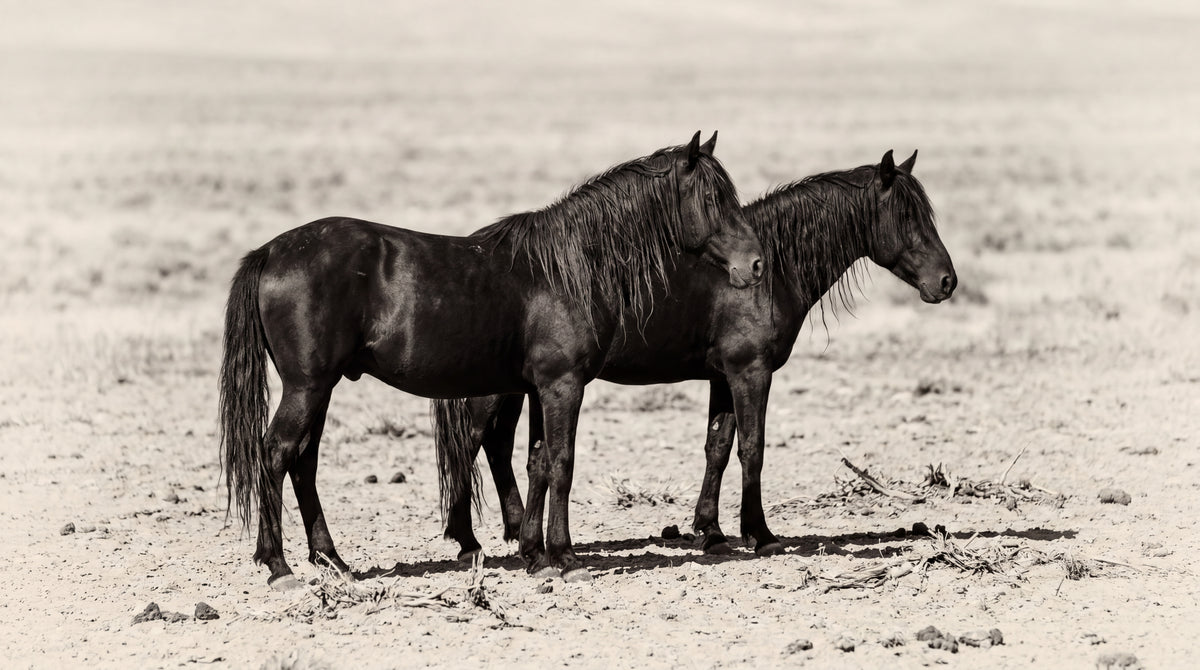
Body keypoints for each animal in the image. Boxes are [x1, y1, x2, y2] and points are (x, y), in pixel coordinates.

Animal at [218, 131, 765, 588]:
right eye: (713, 199)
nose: (756, 264)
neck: (569, 269)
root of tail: (271, 251)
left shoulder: (541, 388)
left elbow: (538, 462)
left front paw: (536, 555)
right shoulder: (563, 385)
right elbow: (562, 463)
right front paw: (566, 559)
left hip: (320, 387)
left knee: (303, 461)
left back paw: (331, 560)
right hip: (307, 386)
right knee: (276, 453)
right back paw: (279, 565)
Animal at [436, 150, 956, 564]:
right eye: (907, 216)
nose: (947, 281)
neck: (771, 271)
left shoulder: (722, 377)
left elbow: (718, 447)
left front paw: (711, 530)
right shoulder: (750, 372)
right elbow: (752, 448)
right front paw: (759, 534)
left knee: (498, 447)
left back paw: (514, 533)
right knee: (472, 444)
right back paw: (468, 542)